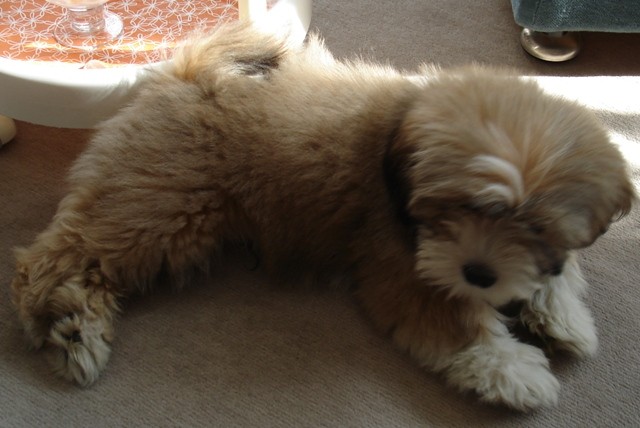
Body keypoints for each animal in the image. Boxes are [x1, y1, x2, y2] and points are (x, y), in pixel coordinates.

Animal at [11, 22, 635, 411]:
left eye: (535, 228)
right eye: (459, 208)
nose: (480, 274)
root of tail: (189, 70)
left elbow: (560, 274)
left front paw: (563, 316)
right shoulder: (401, 265)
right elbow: (455, 323)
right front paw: (515, 372)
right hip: (162, 209)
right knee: (60, 257)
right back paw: (71, 329)